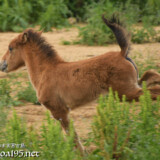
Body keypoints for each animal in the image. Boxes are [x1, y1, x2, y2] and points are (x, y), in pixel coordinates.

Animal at [0, 15, 160, 154]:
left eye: (10, 48)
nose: (2, 65)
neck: (45, 71)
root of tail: (122, 53)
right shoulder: (63, 111)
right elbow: (72, 136)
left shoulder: (60, 111)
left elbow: (73, 137)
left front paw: (81, 155)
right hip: (132, 86)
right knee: (151, 76)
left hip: (125, 93)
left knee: (153, 91)